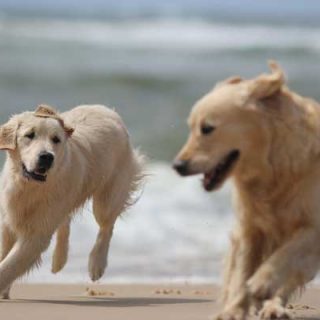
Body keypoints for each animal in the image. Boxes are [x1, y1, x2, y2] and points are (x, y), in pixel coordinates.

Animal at [0, 104, 144, 298]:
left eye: (56, 139)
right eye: (29, 135)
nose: (47, 157)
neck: (29, 187)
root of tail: (107, 109)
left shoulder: (36, 234)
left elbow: (10, 265)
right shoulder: (7, 221)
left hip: (108, 197)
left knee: (106, 227)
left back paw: (96, 265)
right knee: (66, 222)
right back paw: (58, 261)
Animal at [174, 61, 320, 318]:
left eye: (207, 128)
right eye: (191, 128)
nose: (177, 166)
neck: (272, 168)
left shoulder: (312, 227)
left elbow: (286, 254)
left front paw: (262, 283)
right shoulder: (249, 229)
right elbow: (242, 275)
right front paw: (233, 310)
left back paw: (274, 306)